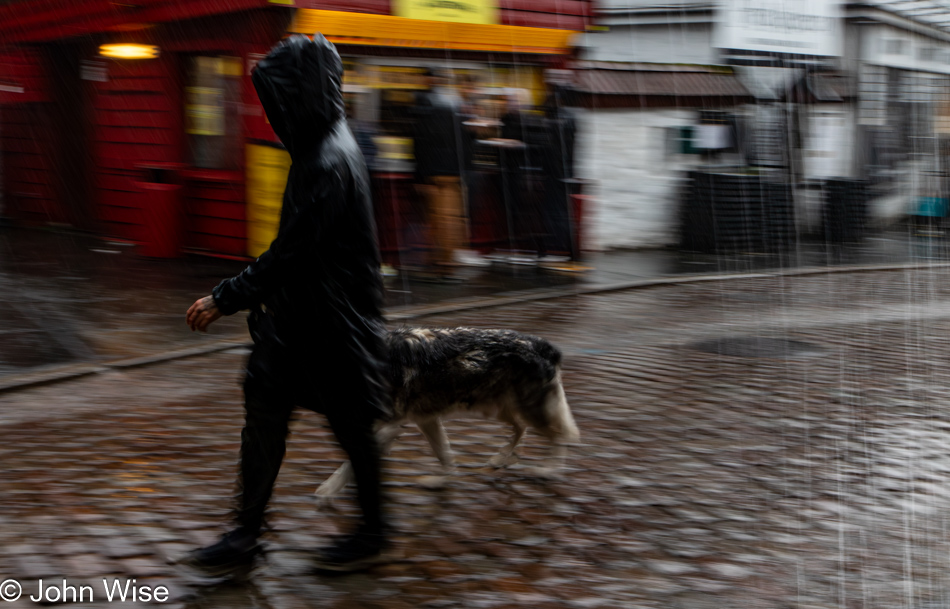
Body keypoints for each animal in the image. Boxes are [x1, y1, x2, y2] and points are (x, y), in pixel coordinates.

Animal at [316, 330, 576, 502]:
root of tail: (545, 345)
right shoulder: (425, 420)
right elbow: (445, 455)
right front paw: (442, 481)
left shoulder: (389, 427)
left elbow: (347, 466)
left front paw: (328, 491)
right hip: (496, 409)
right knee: (520, 429)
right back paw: (501, 458)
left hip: (528, 411)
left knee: (559, 435)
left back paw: (548, 471)